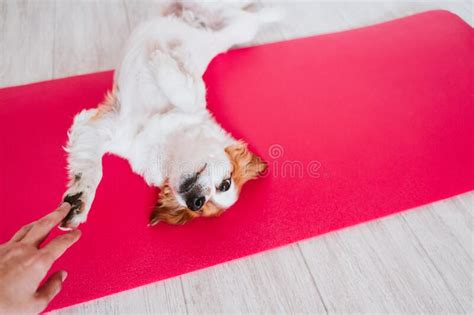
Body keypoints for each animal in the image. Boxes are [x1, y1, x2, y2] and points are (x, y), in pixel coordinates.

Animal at [59, 1, 282, 230]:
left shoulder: (101, 126)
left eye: (199, 209)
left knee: (253, 17)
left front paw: (77, 203)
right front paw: (161, 60)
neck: (162, 145)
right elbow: (94, 171)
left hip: (242, 27)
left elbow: (89, 170)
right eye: (225, 184)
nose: (196, 201)